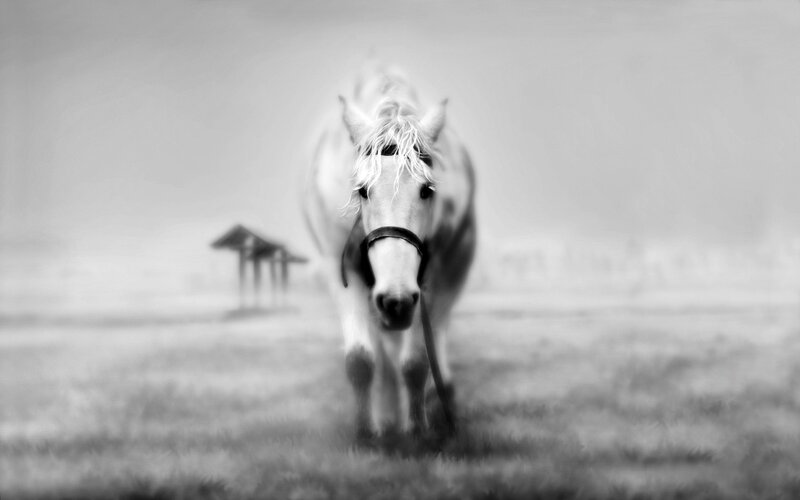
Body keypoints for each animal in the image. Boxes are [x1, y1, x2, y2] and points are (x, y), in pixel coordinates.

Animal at [303, 65, 476, 440]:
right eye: (362, 190)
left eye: (427, 190)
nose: (396, 301)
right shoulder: (342, 271)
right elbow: (360, 359)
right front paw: (366, 431)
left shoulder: (432, 276)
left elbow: (416, 361)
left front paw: (417, 428)